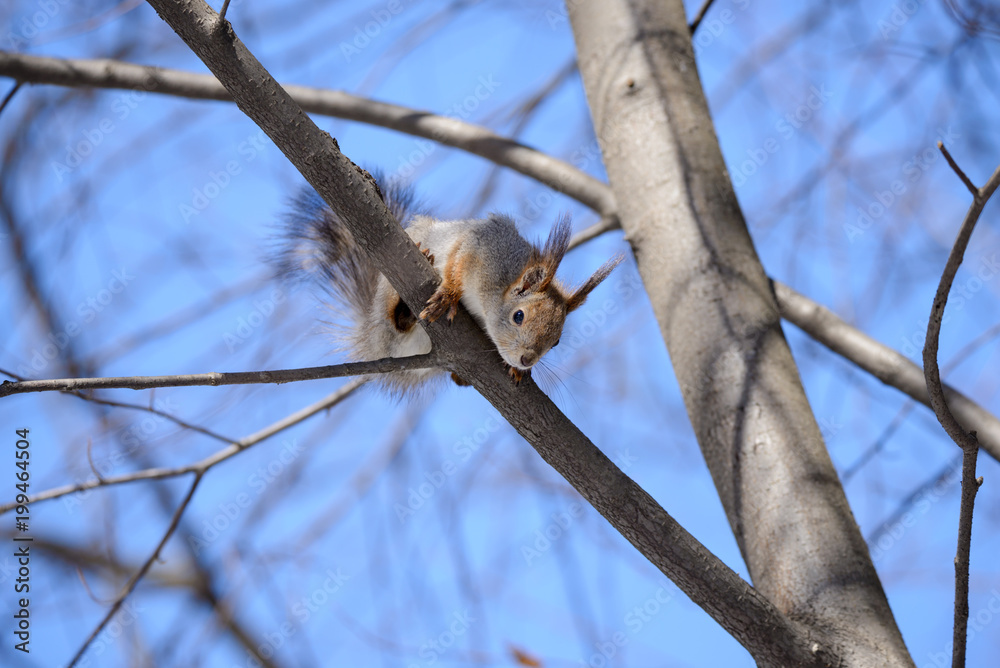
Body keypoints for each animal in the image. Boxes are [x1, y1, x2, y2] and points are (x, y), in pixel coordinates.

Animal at [275, 173, 623, 394]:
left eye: (557, 342)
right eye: (519, 316)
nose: (527, 360)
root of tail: (374, 341)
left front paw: (515, 369)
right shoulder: (479, 248)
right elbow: (456, 264)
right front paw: (448, 297)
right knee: (394, 321)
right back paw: (410, 294)